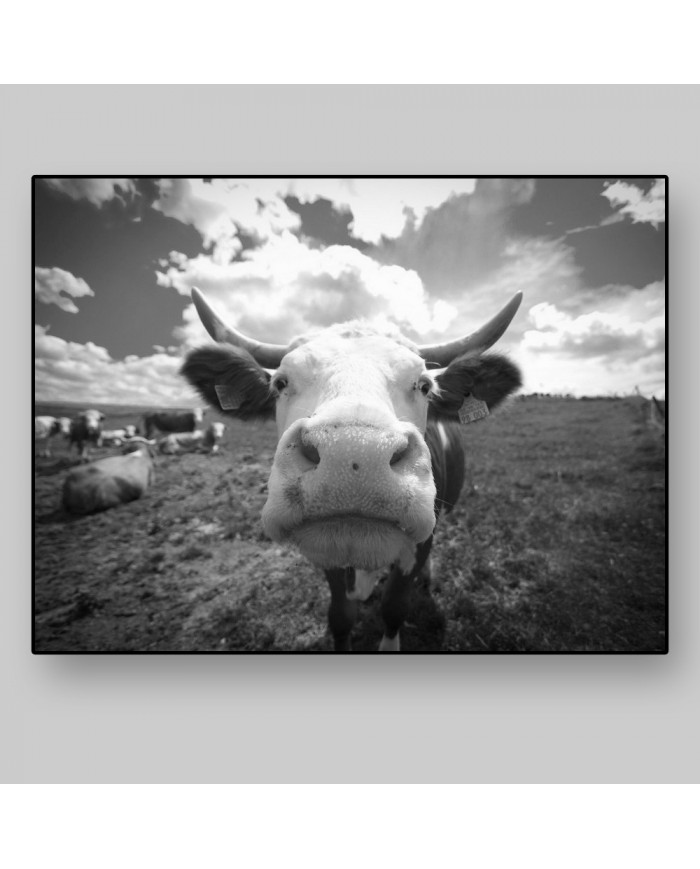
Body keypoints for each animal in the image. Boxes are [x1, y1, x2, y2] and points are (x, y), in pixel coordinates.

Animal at [181, 287, 523, 652]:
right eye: (280, 383)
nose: (353, 455)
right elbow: (341, 615)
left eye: (424, 386)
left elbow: (394, 608)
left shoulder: (417, 547)